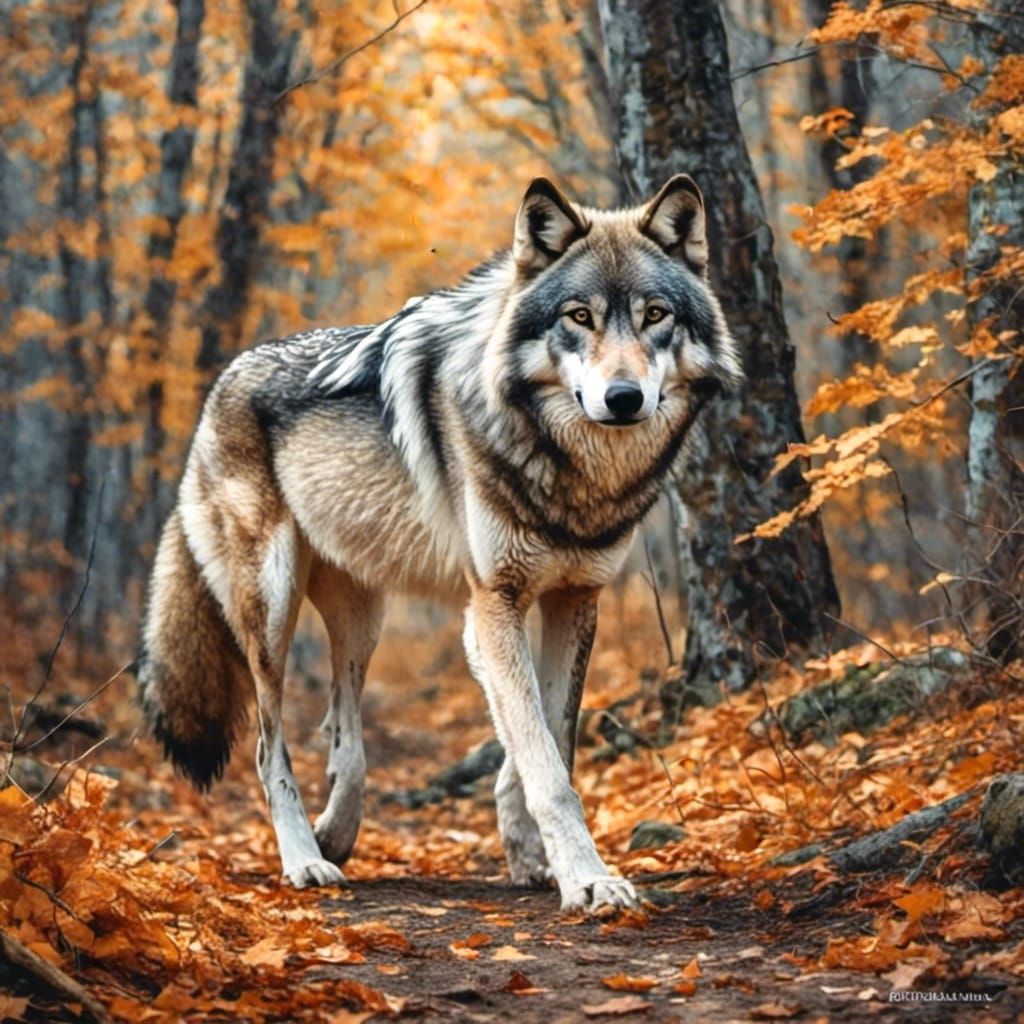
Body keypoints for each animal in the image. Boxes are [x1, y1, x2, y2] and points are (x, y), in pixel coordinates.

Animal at [137, 175, 742, 912]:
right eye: (579, 317)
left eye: (656, 314)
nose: (623, 398)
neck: (572, 473)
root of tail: (218, 387)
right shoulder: (494, 602)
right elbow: (547, 765)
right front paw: (588, 878)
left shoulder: (571, 599)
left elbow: (547, 741)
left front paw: (531, 856)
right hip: (272, 609)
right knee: (268, 747)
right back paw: (306, 859)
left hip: (363, 618)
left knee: (343, 729)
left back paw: (337, 831)